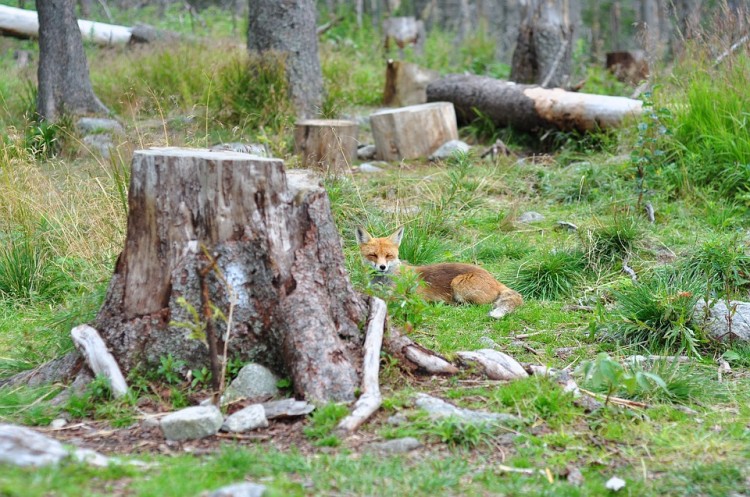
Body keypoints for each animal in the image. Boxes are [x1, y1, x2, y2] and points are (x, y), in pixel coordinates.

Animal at [356, 225, 524, 318]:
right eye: (373, 255)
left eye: (389, 255)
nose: (382, 267)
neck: (382, 282)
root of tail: (493, 278)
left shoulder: (400, 297)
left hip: (458, 283)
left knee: (476, 305)